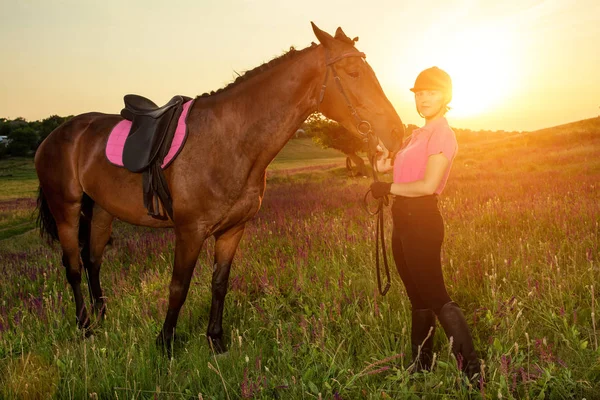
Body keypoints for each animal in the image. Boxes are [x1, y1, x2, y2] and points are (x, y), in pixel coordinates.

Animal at [35, 22, 406, 354]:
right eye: (352, 72)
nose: (397, 131)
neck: (231, 141)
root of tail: (56, 135)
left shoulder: (232, 230)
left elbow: (219, 284)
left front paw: (216, 341)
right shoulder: (189, 231)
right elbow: (178, 287)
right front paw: (165, 344)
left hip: (101, 211)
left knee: (93, 261)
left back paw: (102, 318)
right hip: (66, 211)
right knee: (73, 266)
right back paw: (85, 326)